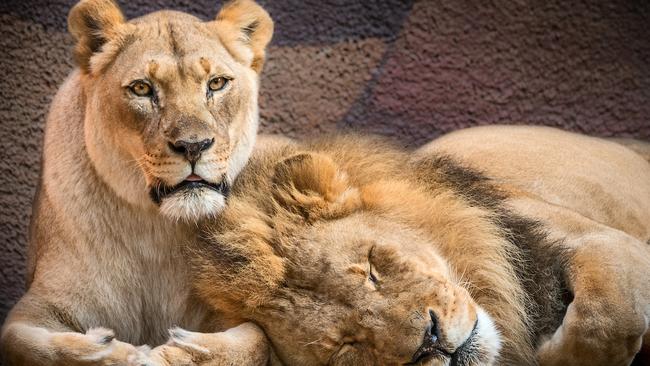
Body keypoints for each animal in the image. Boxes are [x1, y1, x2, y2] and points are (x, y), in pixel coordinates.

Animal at [0, 0, 274, 364]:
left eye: (216, 83)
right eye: (142, 88)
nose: (194, 146)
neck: (155, 228)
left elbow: (256, 339)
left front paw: (176, 351)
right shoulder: (39, 305)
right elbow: (25, 343)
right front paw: (112, 351)